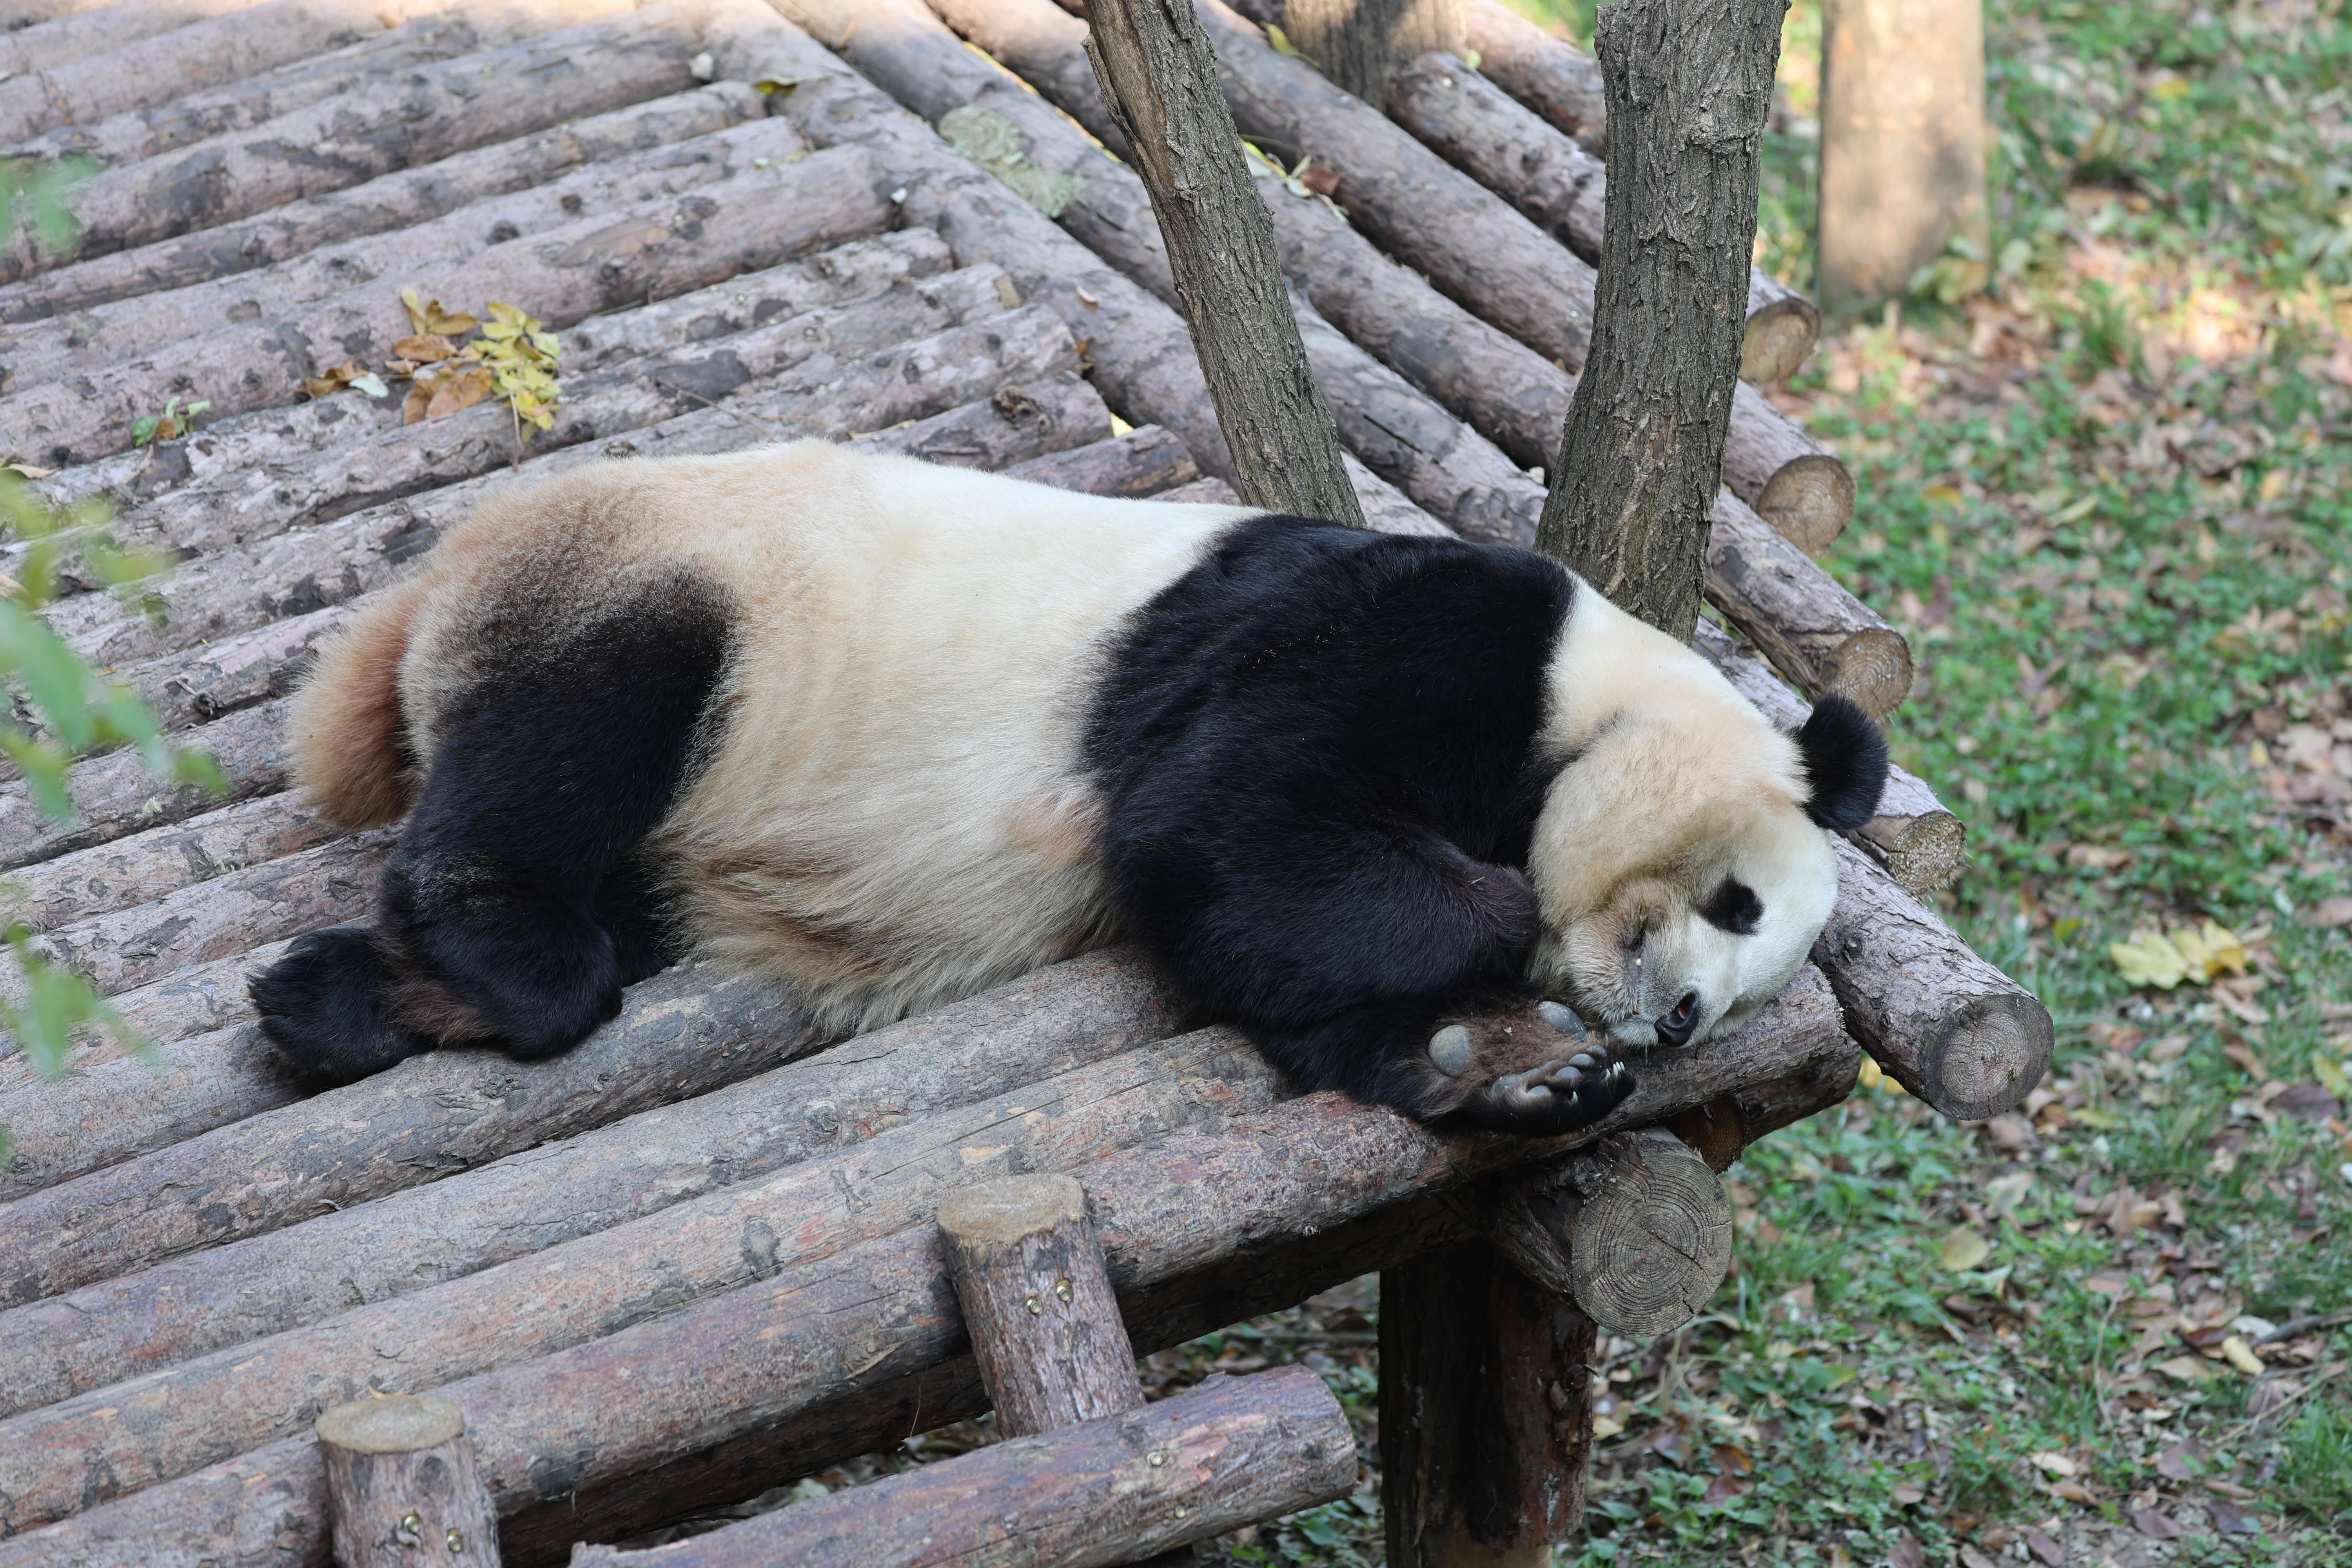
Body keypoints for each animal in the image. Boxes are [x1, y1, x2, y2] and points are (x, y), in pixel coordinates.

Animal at [252, 440, 1887, 1136]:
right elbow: (1228, 832)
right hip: (678, 591)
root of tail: (430, 588)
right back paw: (499, 950)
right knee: (574, 737)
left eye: (1748, 993)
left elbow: (1285, 977)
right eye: (1739, 903)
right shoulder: (1406, 637)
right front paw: (1497, 938)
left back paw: (341, 1001)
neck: (1597, 687)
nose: (1677, 1021)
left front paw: (1510, 1069)